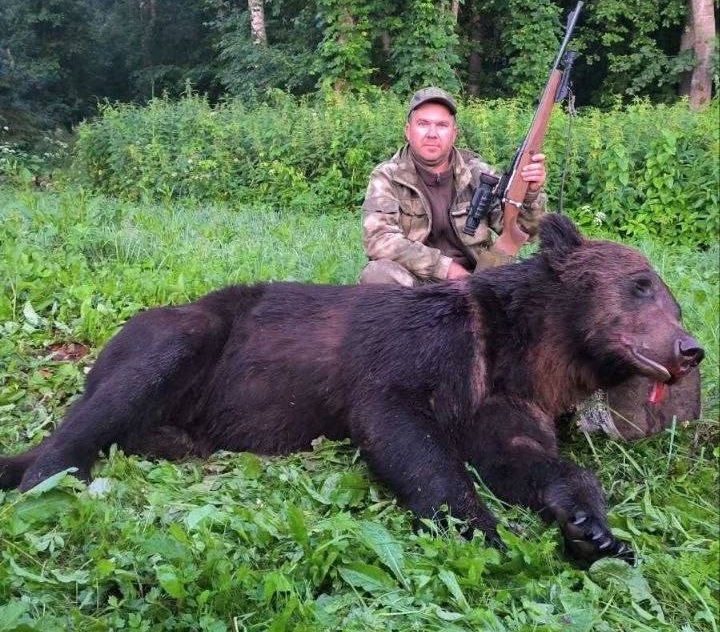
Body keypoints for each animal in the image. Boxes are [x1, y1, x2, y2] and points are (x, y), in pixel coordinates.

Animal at [0, 215, 704, 564]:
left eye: (670, 298)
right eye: (641, 286)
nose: (689, 347)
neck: (521, 349)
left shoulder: (507, 395)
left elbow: (523, 457)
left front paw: (595, 530)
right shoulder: (425, 350)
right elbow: (400, 425)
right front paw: (483, 531)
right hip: (181, 333)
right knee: (122, 389)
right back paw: (50, 475)